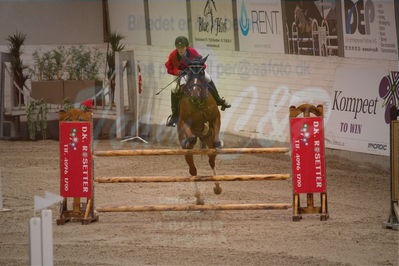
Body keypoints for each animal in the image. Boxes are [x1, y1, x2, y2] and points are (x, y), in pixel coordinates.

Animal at [177, 54, 223, 204]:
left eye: (202, 72)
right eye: (189, 73)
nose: (195, 93)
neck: (199, 102)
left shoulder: (215, 117)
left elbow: (215, 131)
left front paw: (218, 142)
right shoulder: (184, 122)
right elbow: (190, 136)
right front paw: (189, 140)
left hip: (208, 142)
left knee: (211, 161)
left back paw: (217, 187)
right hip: (187, 152)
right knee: (193, 170)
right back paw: (198, 197)